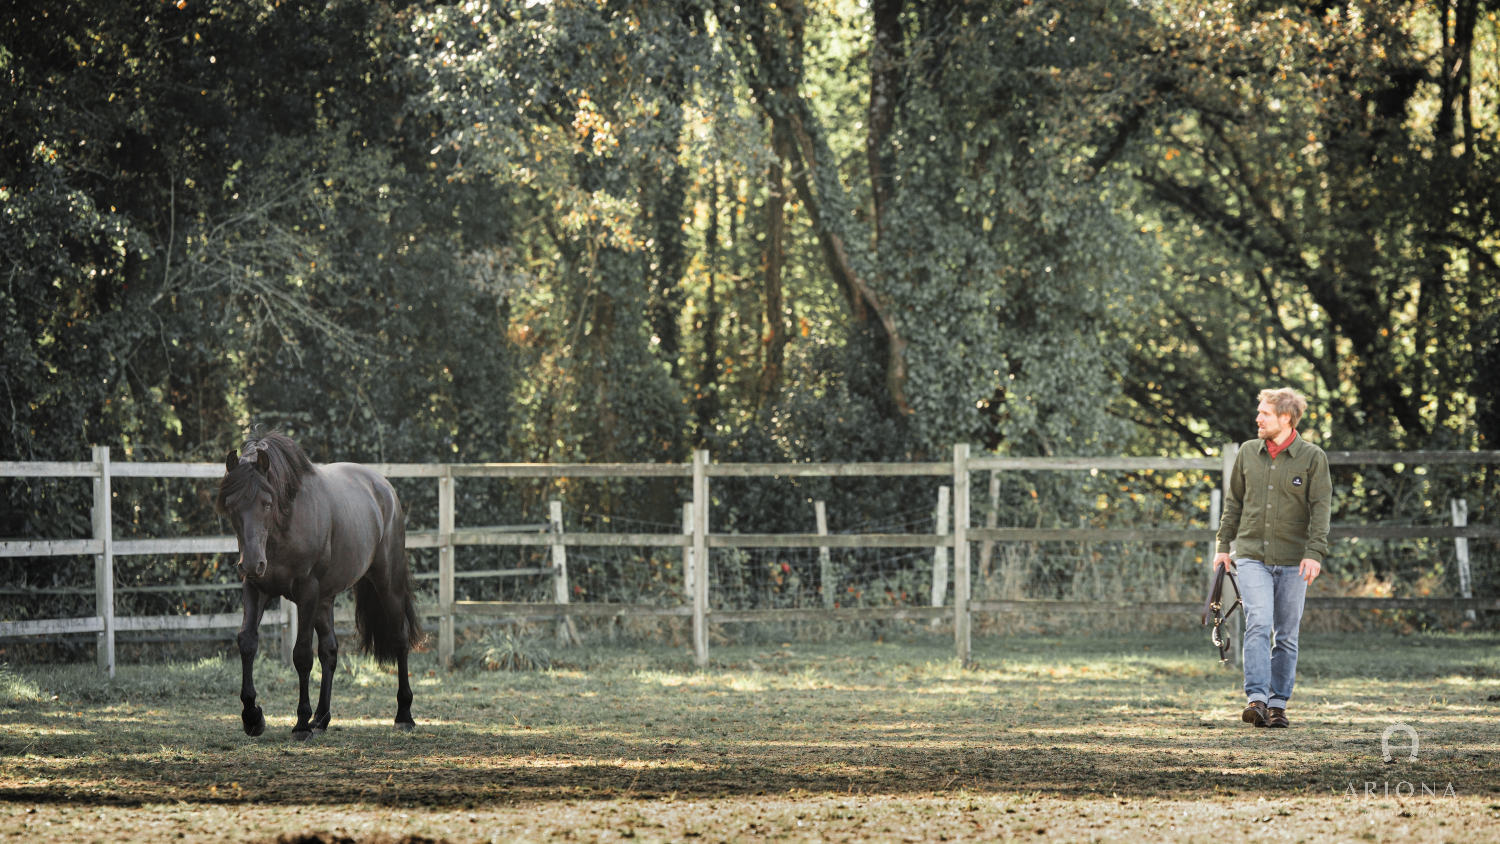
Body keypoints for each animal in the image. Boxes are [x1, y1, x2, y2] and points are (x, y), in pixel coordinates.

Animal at [216, 431, 420, 739]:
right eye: (231, 506)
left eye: (267, 502)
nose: (251, 563)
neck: (284, 529)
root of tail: (384, 487)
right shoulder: (256, 589)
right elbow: (248, 642)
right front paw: (252, 716)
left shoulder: (307, 592)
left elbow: (301, 654)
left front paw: (300, 723)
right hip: (325, 599)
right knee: (329, 651)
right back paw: (321, 719)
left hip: (387, 583)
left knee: (399, 638)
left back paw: (404, 715)